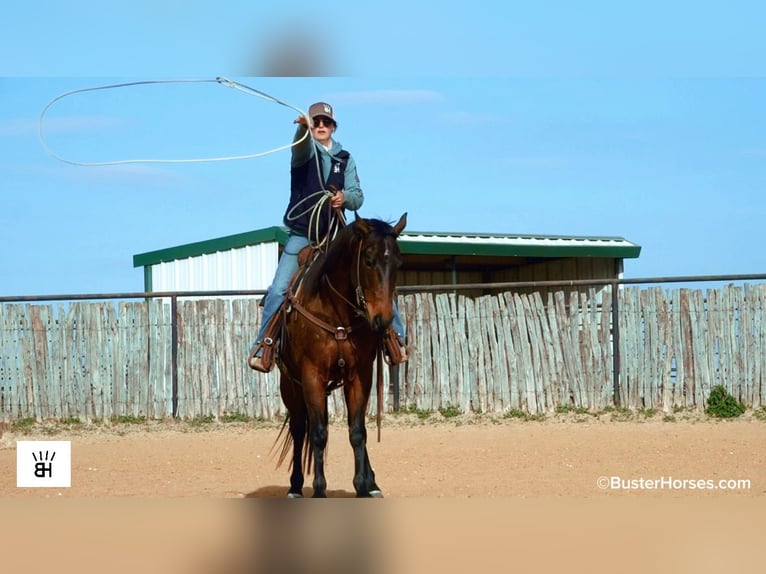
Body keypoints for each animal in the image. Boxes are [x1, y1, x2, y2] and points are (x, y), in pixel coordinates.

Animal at [274, 212, 407, 498]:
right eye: (368, 259)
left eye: (398, 262)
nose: (382, 320)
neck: (336, 313)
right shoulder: (312, 376)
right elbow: (318, 433)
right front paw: (319, 490)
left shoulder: (360, 375)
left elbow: (357, 431)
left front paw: (363, 487)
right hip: (290, 385)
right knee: (299, 429)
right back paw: (296, 486)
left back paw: (372, 483)